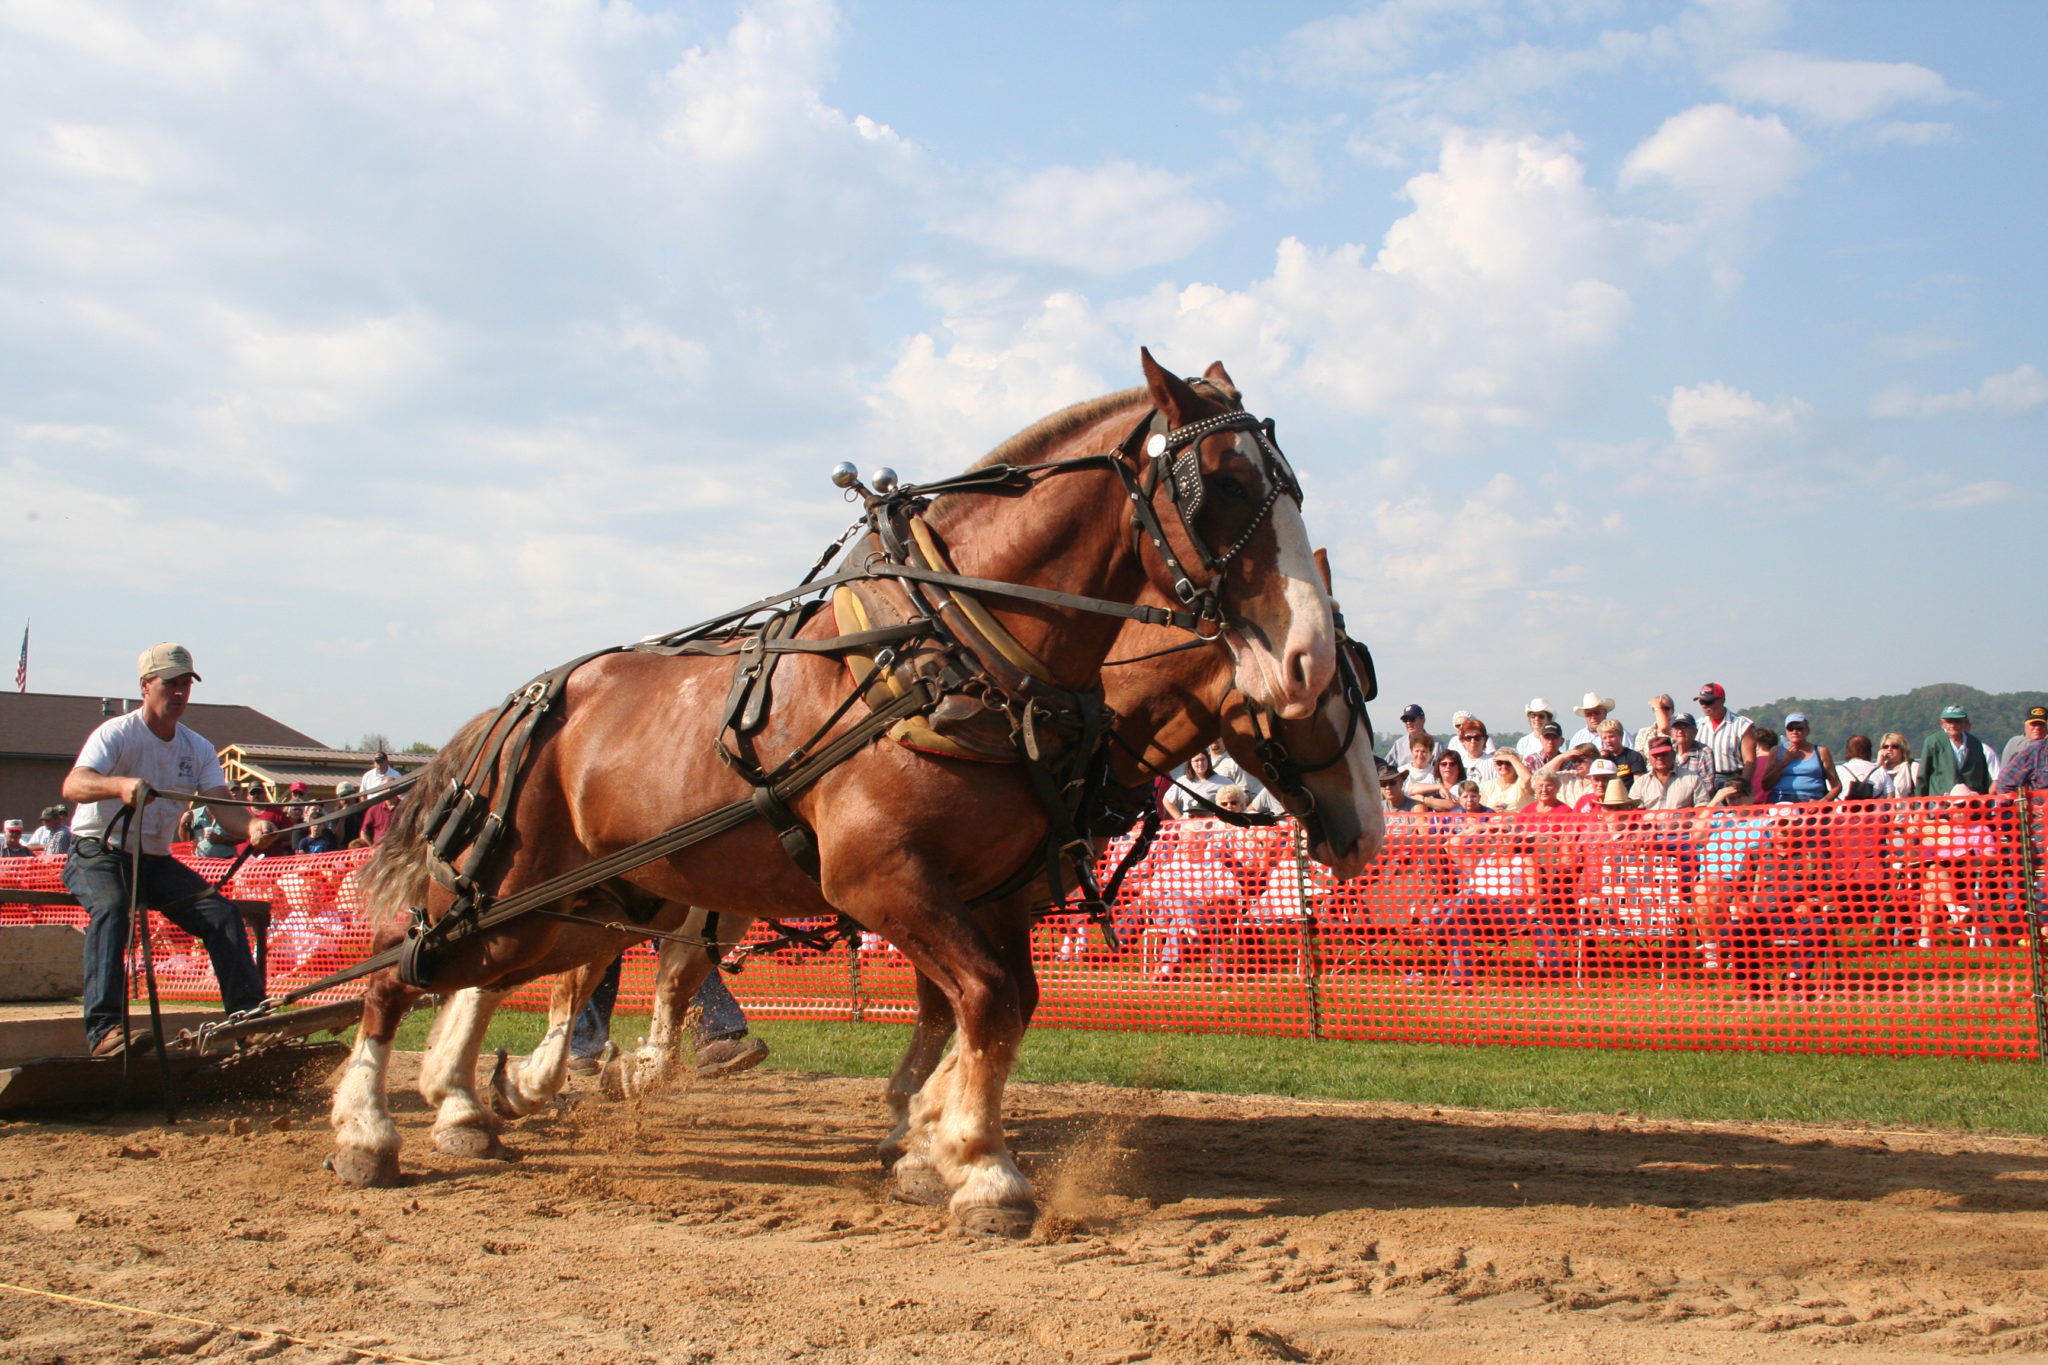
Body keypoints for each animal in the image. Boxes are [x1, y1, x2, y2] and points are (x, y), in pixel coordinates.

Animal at [330, 351, 1352, 1236]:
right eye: (1221, 486)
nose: (1304, 657)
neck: (953, 652)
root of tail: (522, 700)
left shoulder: (989, 892)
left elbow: (998, 1005)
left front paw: (935, 1139)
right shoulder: (876, 879)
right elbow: (983, 1000)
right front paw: (980, 1166)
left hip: (574, 909)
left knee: (475, 975)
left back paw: (468, 1105)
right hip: (511, 892)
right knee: (395, 972)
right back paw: (370, 1129)